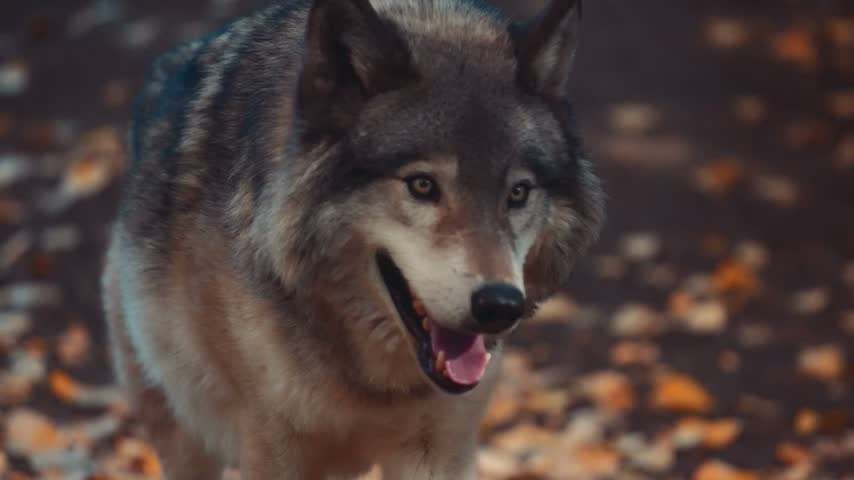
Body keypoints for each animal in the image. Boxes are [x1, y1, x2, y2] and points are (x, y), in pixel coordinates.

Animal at [102, 0, 604, 477]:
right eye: (422, 185)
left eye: (518, 193)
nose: (500, 305)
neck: (375, 387)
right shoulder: (272, 450)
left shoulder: (441, 450)